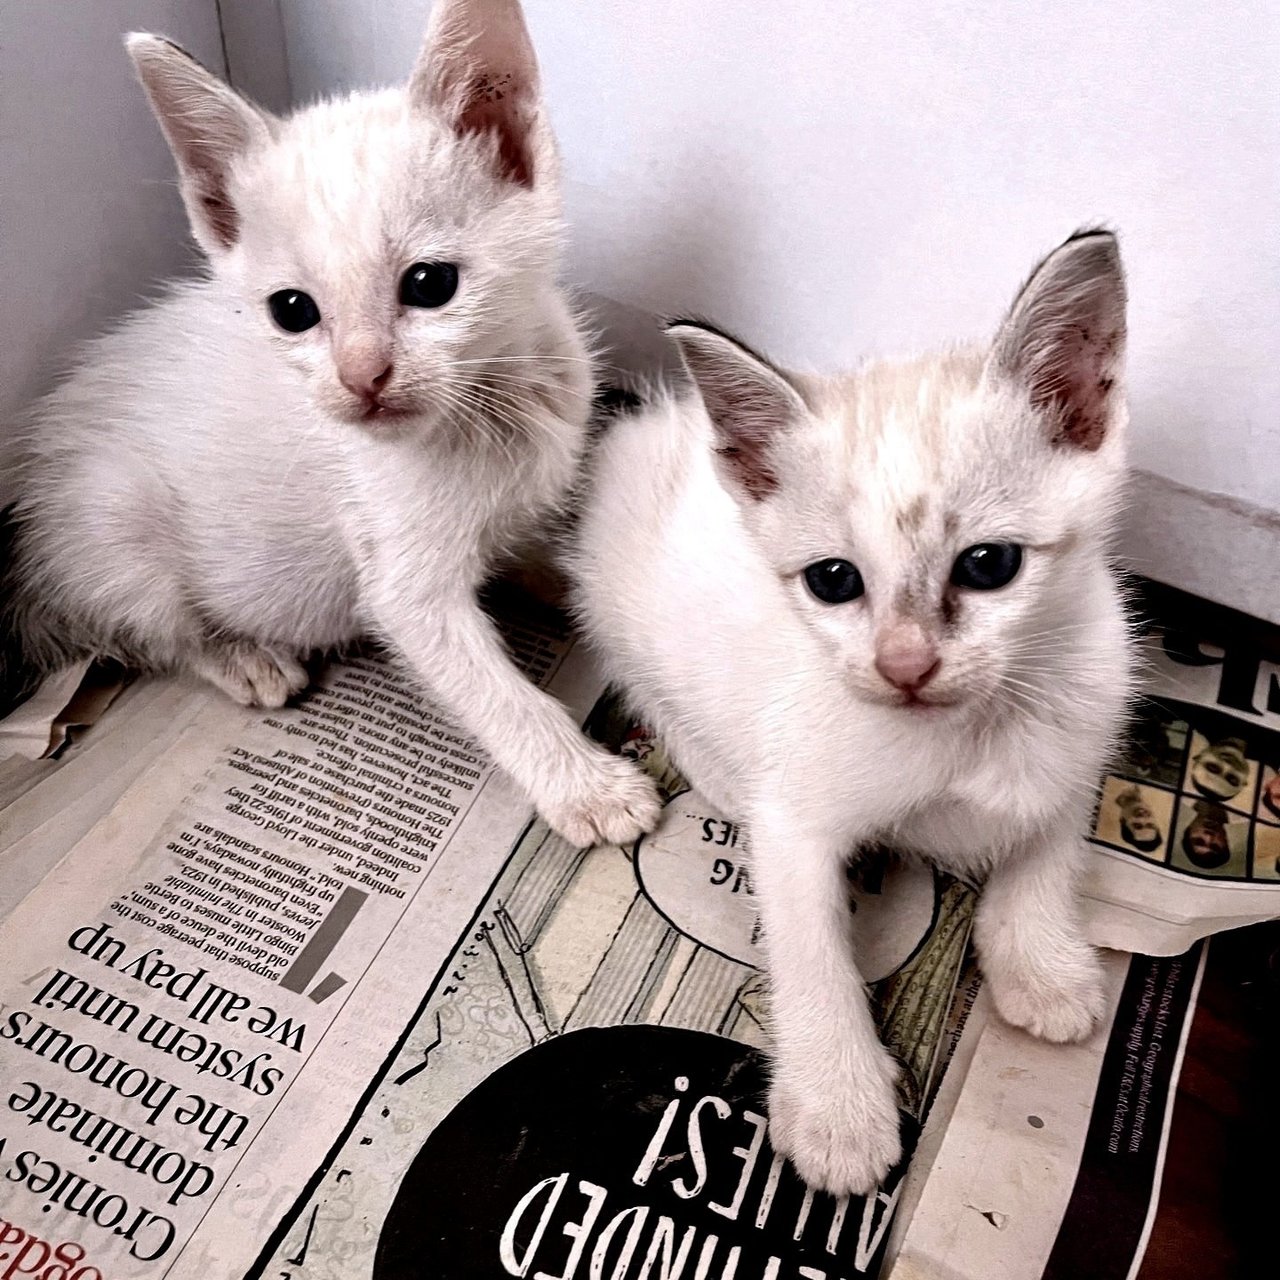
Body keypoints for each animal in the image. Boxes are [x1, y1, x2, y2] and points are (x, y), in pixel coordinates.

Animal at [0, 0, 655, 849]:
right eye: (292, 310)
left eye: (430, 283)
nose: (360, 378)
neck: (492, 402)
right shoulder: (405, 586)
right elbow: (490, 689)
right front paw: (585, 787)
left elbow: (558, 560)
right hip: (111, 522)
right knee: (145, 632)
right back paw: (241, 656)